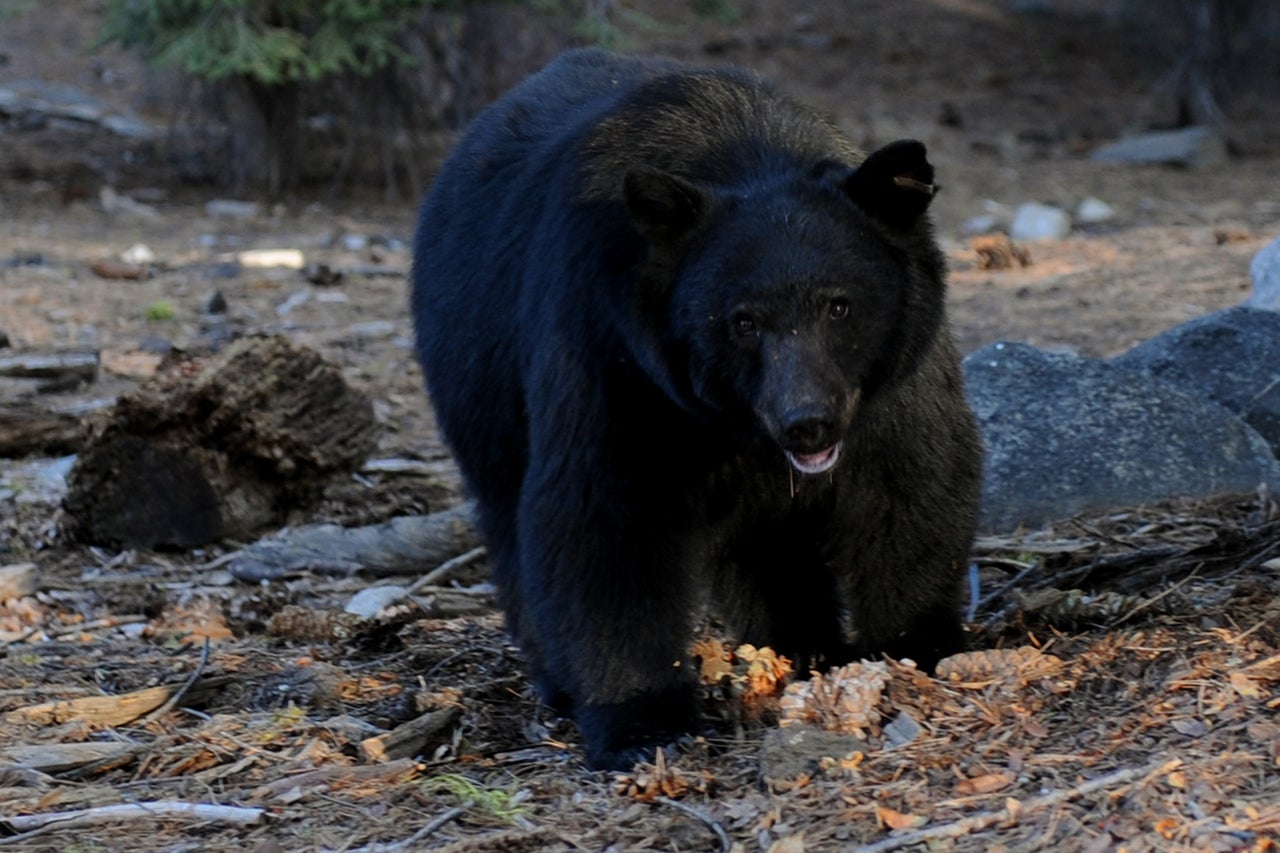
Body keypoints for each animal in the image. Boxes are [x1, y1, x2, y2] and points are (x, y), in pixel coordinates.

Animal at [411, 48, 983, 771]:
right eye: (742, 320)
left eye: (840, 304)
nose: (808, 422)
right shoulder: (615, 355)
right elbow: (607, 516)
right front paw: (643, 722)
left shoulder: (891, 380)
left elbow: (910, 483)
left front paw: (917, 647)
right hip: (478, 383)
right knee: (511, 523)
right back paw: (559, 680)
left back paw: (801, 644)